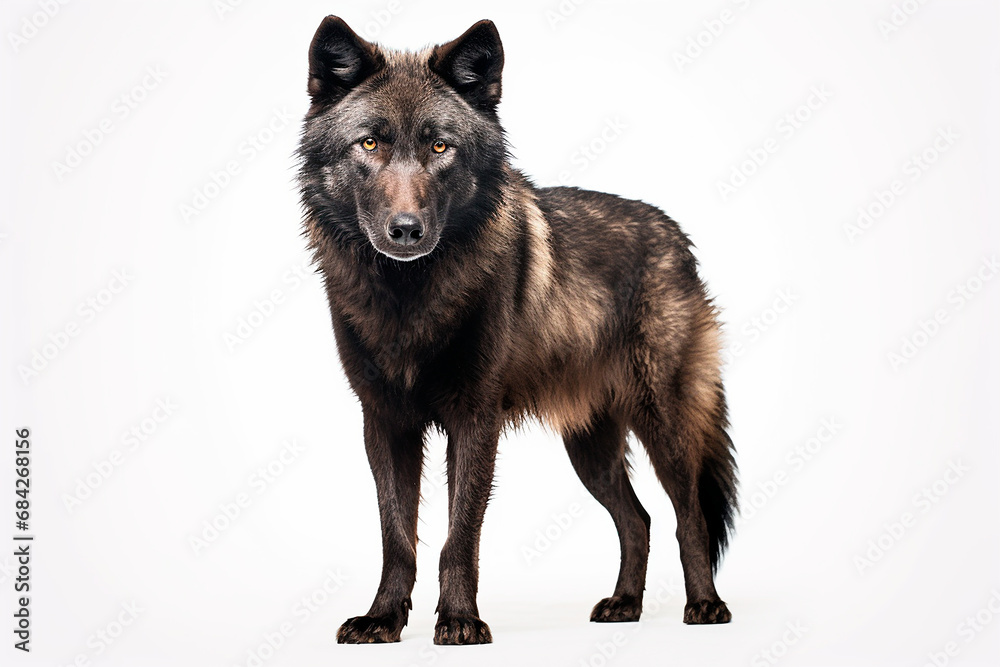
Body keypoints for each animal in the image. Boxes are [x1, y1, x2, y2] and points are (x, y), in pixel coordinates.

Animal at [297, 16, 738, 645]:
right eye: (369, 144)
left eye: (440, 146)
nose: (405, 230)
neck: (410, 300)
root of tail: (677, 236)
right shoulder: (385, 422)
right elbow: (396, 537)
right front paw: (382, 620)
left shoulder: (473, 420)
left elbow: (459, 537)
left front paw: (460, 621)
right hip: (590, 450)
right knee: (639, 519)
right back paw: (624, 605)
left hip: (665, 422)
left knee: (688, 516)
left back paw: (705, 606)